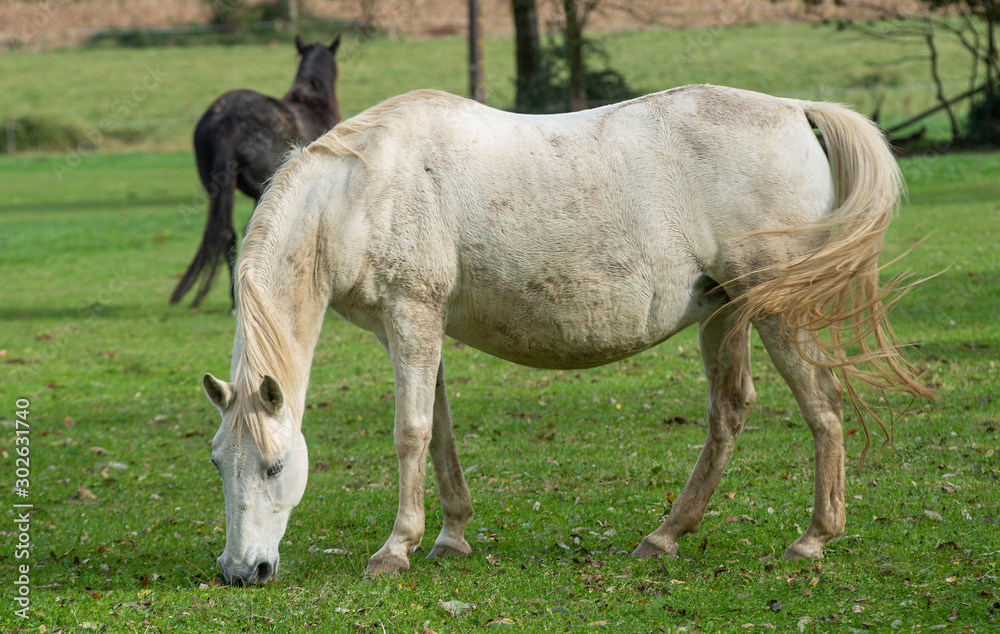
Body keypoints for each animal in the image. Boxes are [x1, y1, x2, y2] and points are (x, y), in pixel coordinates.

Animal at [201, 85, 928, 584]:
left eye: (274, 466)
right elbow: (440, 432)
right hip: (725, 314)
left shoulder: (413, 318)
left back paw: (813, 538)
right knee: (730, 412)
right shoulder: (414, 330)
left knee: (823, 407)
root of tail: (794, 109)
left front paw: (396, 548)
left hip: (775, 312)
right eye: (217, 465)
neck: (360, 189)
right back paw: (664, 536)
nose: (242, 571)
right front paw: (451, 536)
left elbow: (411, 432)